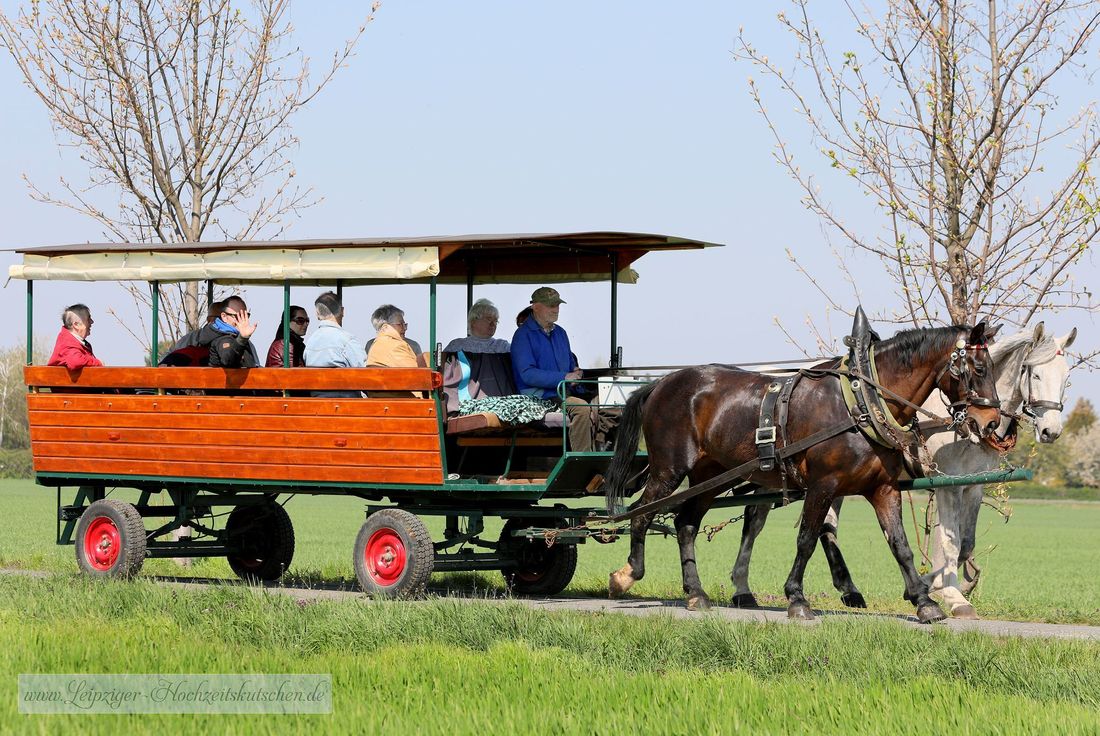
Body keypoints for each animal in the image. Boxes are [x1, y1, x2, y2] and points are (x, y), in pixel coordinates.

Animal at [607, 321, 1003, 620]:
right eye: (979, 369)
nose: (992, 423)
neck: (859, 403)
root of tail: (661, 383)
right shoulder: (822, 485)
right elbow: (807, 539)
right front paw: (797, 599)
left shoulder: (883, 489)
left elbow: (900, 546)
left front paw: (924, 603)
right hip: (669, 469)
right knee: (641, 513)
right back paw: (627, 575)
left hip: (709, 475)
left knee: (686, 523)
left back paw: (695, 593)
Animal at [730, 323, 1073, 616]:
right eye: (1034, 374)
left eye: (1066, 377)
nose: (1051, 430)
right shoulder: (948, 483)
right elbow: (950, 543)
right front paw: (949, 594)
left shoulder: (973, 485)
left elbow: (966, 544)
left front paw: (932, 585)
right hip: (775, 476)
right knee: (754, 519)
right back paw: (741, 588)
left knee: (826, 526)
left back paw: (849, 589)